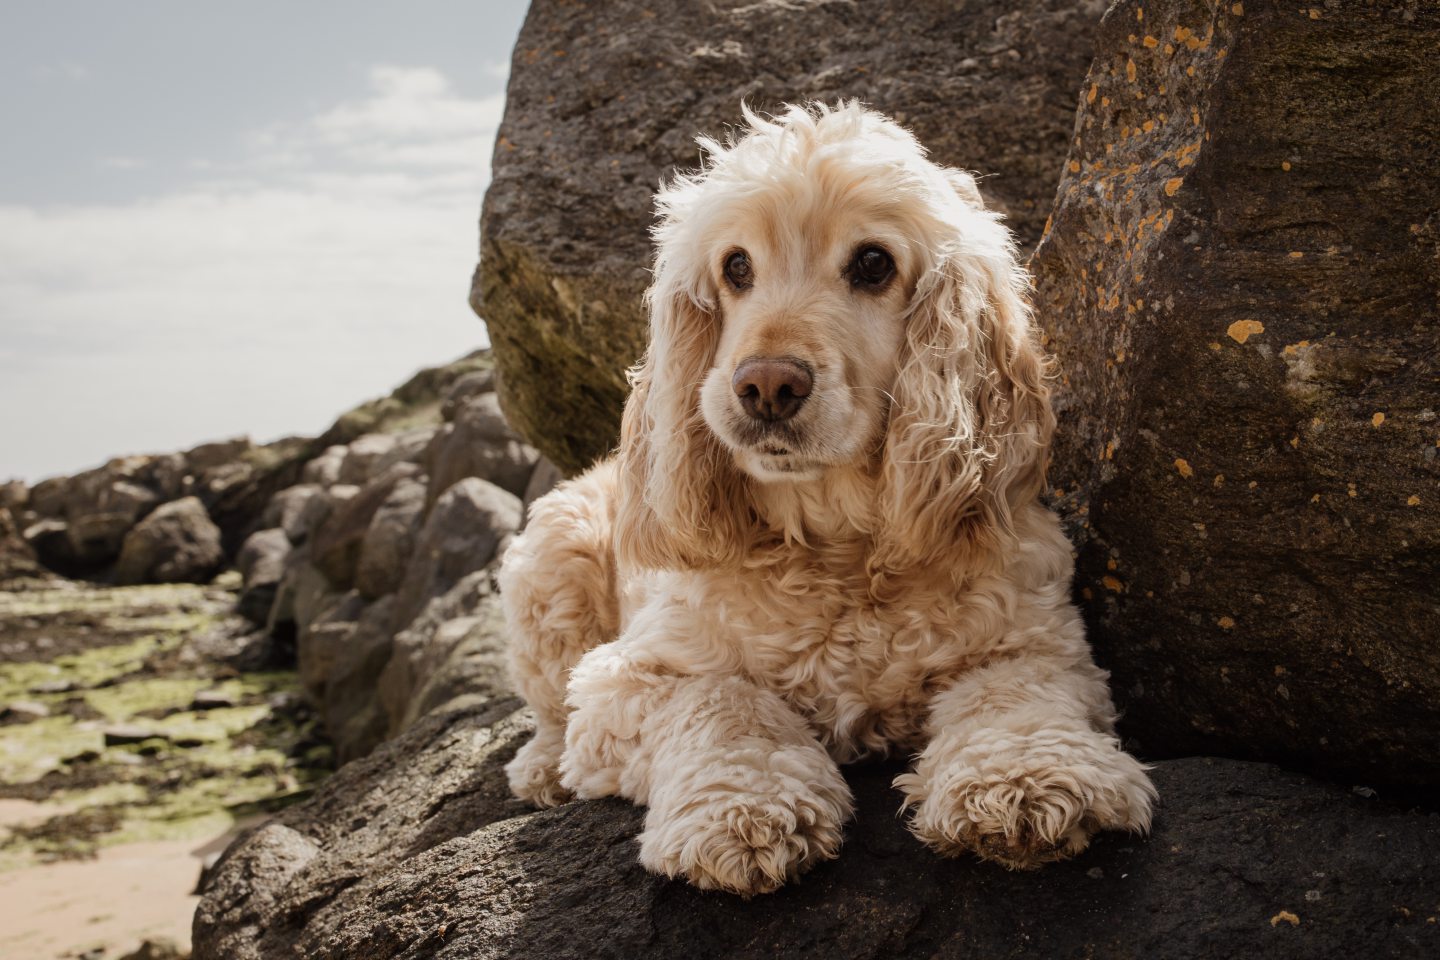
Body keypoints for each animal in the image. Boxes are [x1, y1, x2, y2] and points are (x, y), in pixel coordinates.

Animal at [501, 101, 1152, 898]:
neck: (839, 544)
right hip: (551, 557)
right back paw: (543, 768)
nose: (766, 385)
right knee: (547, 707)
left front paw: (1026, 780)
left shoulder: (1037, 641)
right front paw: (743, 813)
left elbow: (1011, 696)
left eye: (873, 263)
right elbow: (723, 702)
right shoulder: (634, 677)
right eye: (736, 267)